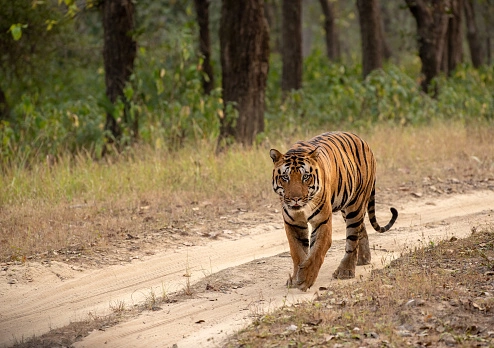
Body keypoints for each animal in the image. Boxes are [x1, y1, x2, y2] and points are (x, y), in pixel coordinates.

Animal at [270, 131, 398, 290]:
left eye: (305, 177)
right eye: (285, 177)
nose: (295, 199)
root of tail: (362, 140)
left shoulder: (322, 221)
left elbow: (317, 251)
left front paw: (305, 278)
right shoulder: (293, 223)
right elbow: (298, 252)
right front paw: (295, 278)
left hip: (355, 206)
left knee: (352, 238)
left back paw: (345, 271)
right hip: (347, 208)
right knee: (361, 229)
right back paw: (363, 259)